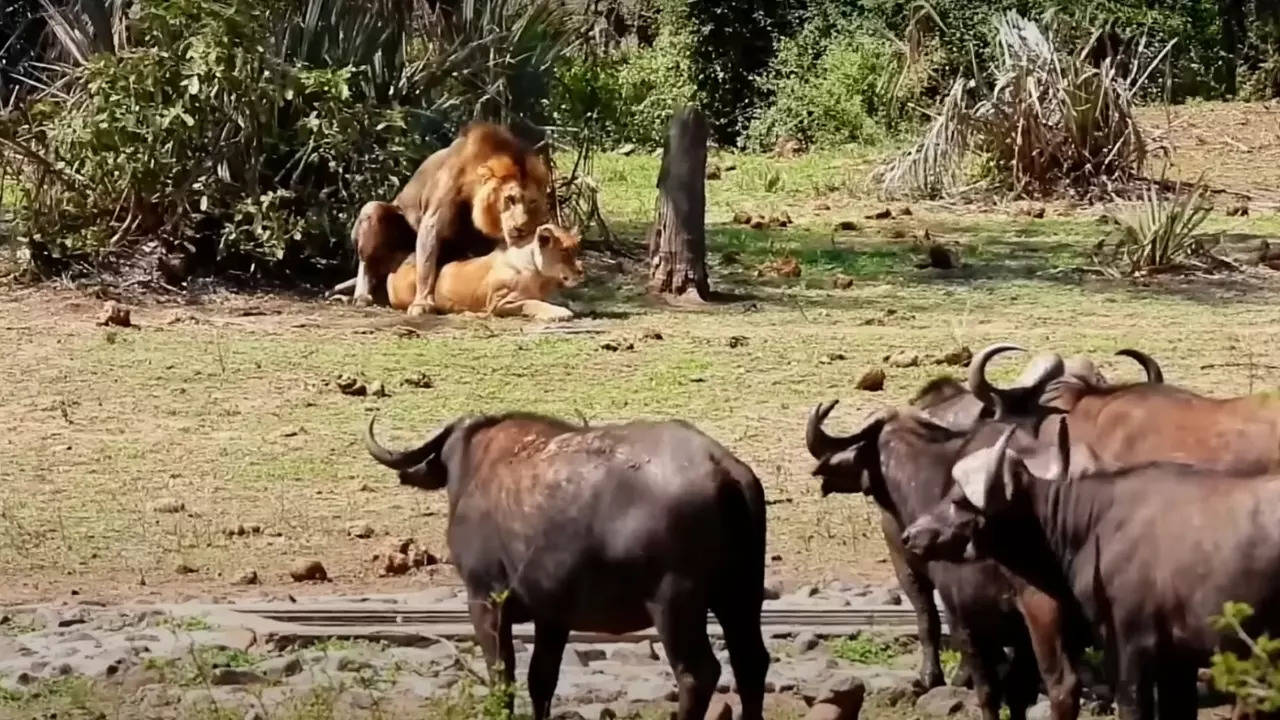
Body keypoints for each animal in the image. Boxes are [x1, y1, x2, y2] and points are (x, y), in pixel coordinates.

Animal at [348, 122, 552, 311]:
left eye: (532, 202)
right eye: (510, 199)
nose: (520, 227)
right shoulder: (434, 216)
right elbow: (426, 262)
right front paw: (422, 303)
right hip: (372, 211)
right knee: (366, 261)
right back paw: (362, 297)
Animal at [366, 412, 762, 717]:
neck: (478, 468)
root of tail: (721, 469)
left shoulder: (485, 599)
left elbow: (503, 676)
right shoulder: (553, 617)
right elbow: (541, 680)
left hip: (674, 605)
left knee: (697, 673)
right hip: (741, 597)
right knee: (750, 664)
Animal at [384, 220, 586, 317]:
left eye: (576, 249)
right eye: (564, 251)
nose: (580, 271)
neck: (542, 278)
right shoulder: (499, 303)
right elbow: (532, 302)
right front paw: (560, 313)